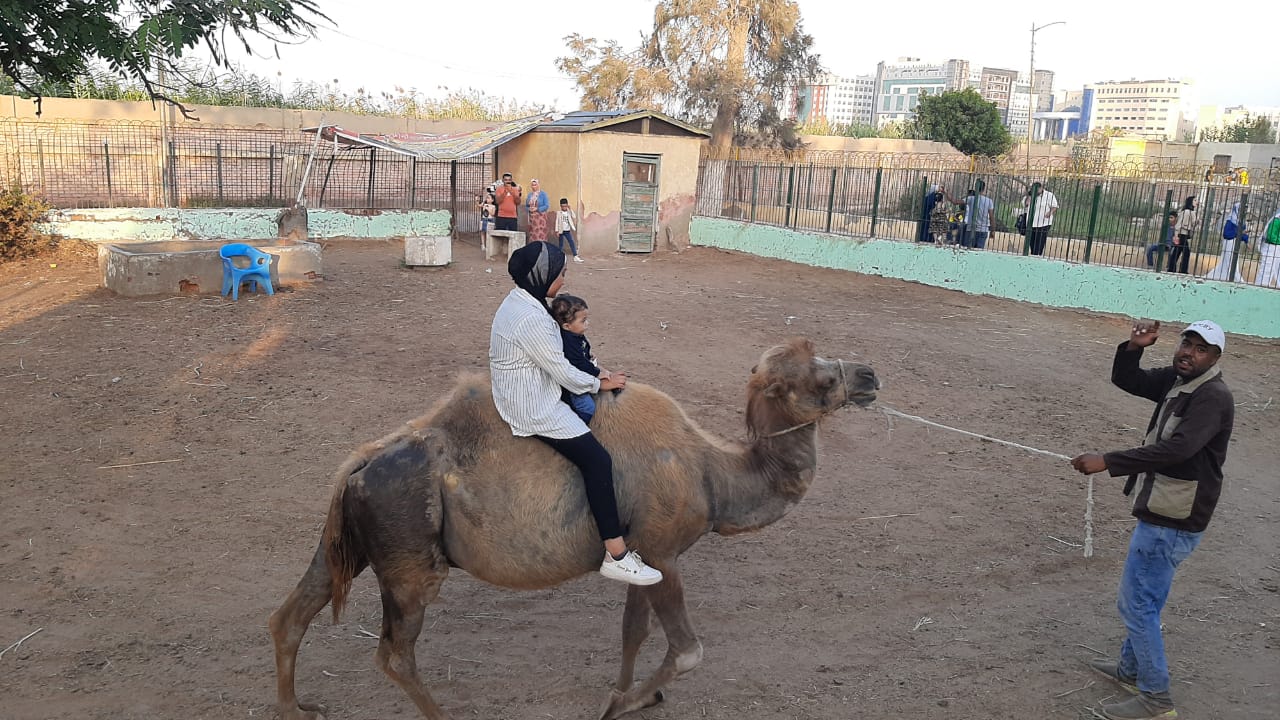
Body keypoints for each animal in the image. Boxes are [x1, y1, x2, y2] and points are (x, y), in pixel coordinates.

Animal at [270, 338, 880, 717]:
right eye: (821, 377)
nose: (870, 374)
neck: (712, 473)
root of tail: (359, 465)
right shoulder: (665, 550)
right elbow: (687, 651)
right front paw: (620, 703)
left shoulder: (641, 553)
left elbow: (633, 631)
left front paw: (627, 693)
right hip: (409, 564)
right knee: (394, 654)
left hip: (349, 546)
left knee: (290, 616)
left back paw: (297, 709)